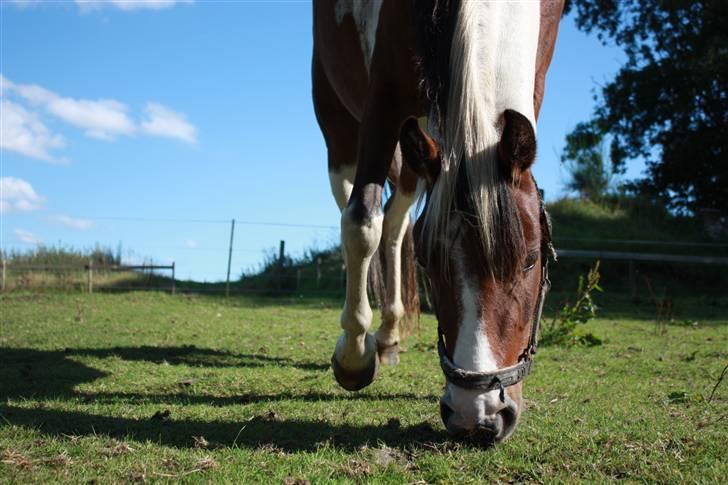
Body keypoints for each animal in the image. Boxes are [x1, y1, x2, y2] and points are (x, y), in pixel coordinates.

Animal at [312, 0, 564, 444]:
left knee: (396, 227)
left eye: (531, 260)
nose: (476, 416)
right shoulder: (384, 97)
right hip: (338, 120)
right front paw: (354, 358)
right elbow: (360, 222)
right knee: (359, 213)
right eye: (428, 263)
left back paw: (389, 336)